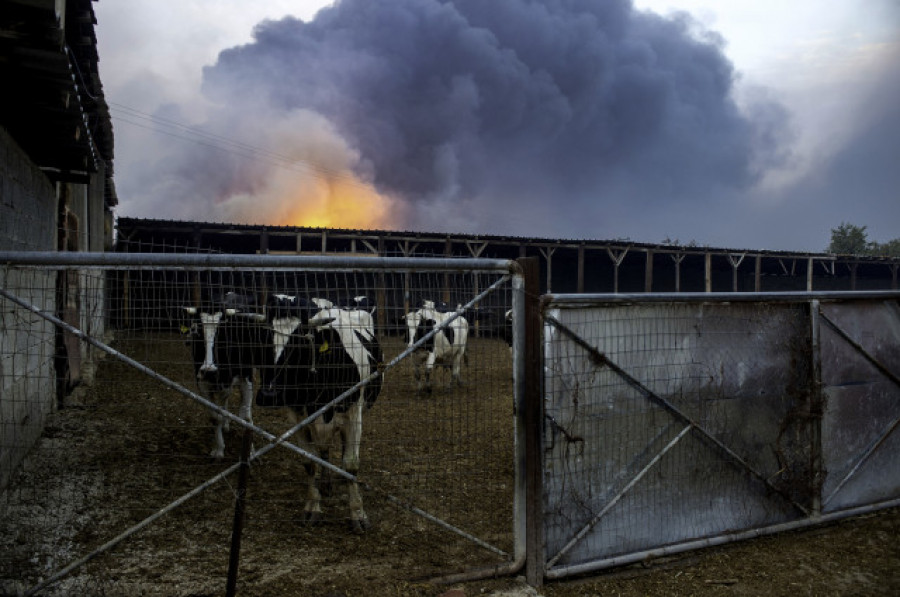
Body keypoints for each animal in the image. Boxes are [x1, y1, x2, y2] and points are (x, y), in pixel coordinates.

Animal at [182, 292, 260, 458]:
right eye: (197, 331)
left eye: (223, 332)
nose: (209, 370)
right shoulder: (202, 382)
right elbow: (214, 417)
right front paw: (218, 448)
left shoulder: (247, 377)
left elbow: (246, 417)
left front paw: (249, 450)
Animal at [253, 294, 384, 532]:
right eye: (264, 339)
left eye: (300, 341)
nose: (268, 394)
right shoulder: (297, 417)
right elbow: (310, 462)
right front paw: (312, 507)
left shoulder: (354, 414)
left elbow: (351, 464)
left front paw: (358, 514)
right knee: (324, 450)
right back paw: (326, 483)